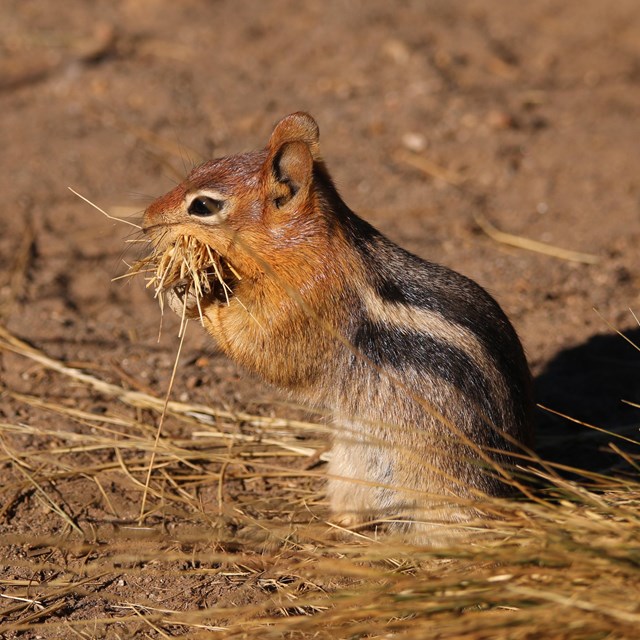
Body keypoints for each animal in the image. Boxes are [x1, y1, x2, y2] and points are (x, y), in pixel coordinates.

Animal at [141, 112, 536, 544]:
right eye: (200, 166)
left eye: (203, 206)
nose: (145, 220)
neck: (305, 247)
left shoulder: (302, 305)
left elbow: (260, 346)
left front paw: (194, 294)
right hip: (351, 467)